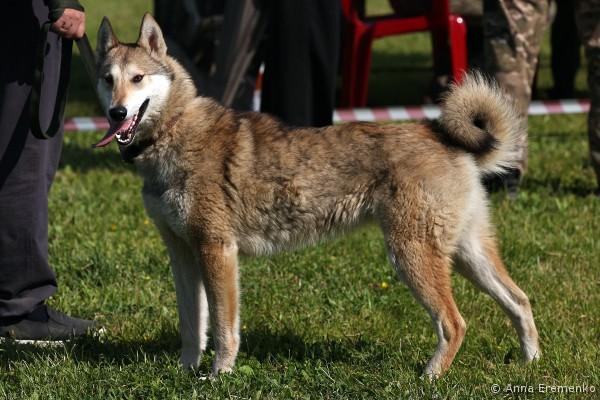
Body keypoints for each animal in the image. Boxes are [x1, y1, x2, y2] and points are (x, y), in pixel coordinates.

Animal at [93, 13, 540, 377]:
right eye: (108, 80)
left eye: (138, 79)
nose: (116, 113)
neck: (174, 132)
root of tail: (442, 135)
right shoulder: (183, 254)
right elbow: (192, 327)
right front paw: (187, 372)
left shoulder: (216, 251)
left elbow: (223, 328)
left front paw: (219, 375)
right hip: (466, 254)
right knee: (519, 301)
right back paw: (530, 363)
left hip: (412, 256)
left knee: (454, 323)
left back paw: (429, 376)